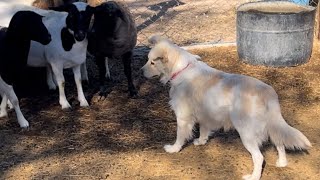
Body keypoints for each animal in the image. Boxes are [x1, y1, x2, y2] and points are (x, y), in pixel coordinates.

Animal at [141, 35, 312, 180]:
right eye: (148, 60)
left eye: (152, 62)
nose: (140, 72)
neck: (181, 69)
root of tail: (267, 92)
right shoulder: (205, 114)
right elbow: (203, 130)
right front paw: (201, 142)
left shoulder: (183, 116)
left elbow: (180, 135)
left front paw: (173, 149)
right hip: (272, 125)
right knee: (279, 142)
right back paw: (282, 163)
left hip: (246, 134)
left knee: (259, 157)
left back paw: (253, 177)